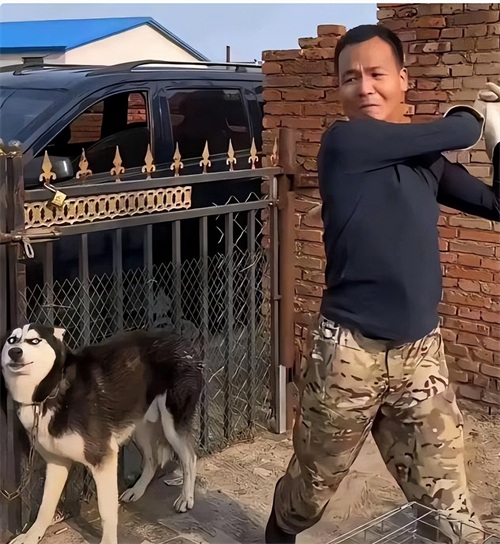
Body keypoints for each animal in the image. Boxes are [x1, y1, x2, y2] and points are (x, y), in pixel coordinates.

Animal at [1, 324, 203, 544]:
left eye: (34, 341)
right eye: (12, 340)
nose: (14, 352)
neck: (52, 391)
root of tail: (181, 339)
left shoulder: (103, 459)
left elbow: (106, 512)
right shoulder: (56, 462)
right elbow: (45, 507)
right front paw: (32, 535)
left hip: (171, 425)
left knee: (189, 457)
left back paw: (186, 498)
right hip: (139, 427)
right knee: (153, 460)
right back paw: (137, 490)